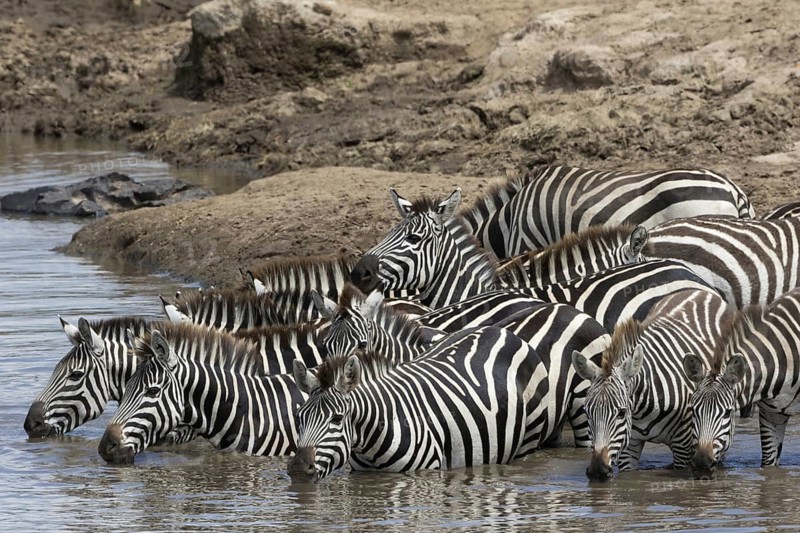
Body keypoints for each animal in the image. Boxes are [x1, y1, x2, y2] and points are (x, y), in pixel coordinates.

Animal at [288, 325, 552, 483]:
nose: (298, 470)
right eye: (299, 418)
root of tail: (501, 330)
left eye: (337, 418)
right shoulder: (363, 475)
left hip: (530, 435)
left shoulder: (425, 472)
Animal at [571, 288, 729, 480]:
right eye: (587, 412)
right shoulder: (629, 444)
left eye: (621, 413)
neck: (642, 409)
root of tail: (699, 291)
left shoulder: (683, 445)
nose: (597, 472)